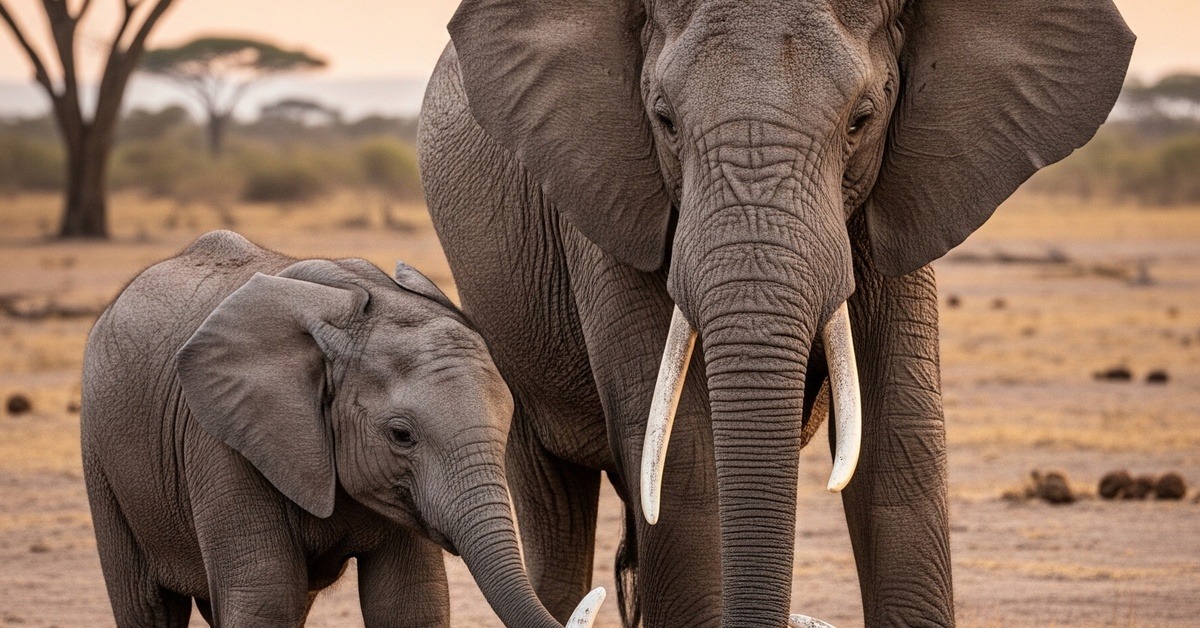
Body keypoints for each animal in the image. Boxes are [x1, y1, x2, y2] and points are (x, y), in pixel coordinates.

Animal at [80, 230, 604, 627]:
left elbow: (409, 602)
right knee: (147, 606)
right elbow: (265, 598)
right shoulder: (220, 442)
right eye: (401, 435)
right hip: (99, 456)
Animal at [418, 0, 1134, 625]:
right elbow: (683, 451)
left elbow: (901, 440)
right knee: (553, 506)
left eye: (862, 120)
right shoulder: (608, 192)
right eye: (664, 120)